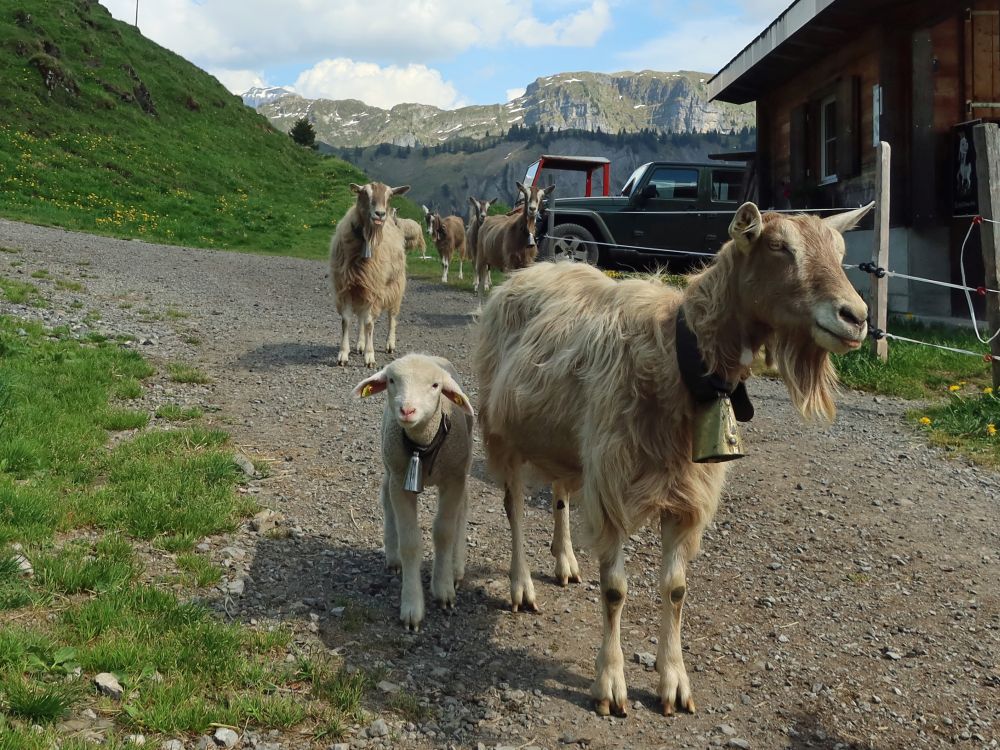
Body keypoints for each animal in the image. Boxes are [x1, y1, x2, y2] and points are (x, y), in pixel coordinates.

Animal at [330, 182, 409, 367]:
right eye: (364, 193)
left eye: (390, 196)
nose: (380, 214)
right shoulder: (347, 287)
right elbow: (347, 321)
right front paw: (343, 354)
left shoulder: (374, 289)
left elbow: (369, 323)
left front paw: (370, 356)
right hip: (361, 289)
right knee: (360, 318)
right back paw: (360, 344)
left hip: (395, 286)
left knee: (391, 317)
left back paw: (389, 344)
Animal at [353, 354, 475, 631]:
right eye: (391, 380)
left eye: (435, 385)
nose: (407, 410)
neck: (423, 444)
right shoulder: (401, 482)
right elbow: (410, 542)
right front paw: (412, 606)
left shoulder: (453, 479)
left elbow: (444, 532)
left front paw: (443, 589)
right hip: (390, 466)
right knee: (385, 498)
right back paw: (393, 556)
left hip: (462, 469)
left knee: (463, 507)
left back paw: (456, 567)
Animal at [473, 202, 873, 717]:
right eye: (778, 246)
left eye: (841, 251)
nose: (856, 317)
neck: (675, 354)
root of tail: (531, 271)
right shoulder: (613, 485)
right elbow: (615, 590)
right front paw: (611, 683)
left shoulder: (685, 497)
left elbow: (676, 589)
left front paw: (674, 680)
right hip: (503, 430)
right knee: (515, 508)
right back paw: (521, 586)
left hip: (571, 441)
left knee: (560, 493)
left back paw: (564, 560)